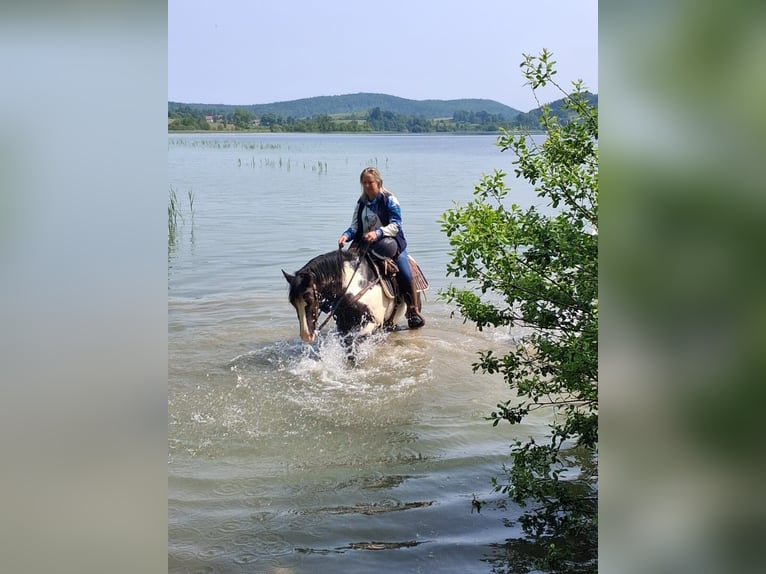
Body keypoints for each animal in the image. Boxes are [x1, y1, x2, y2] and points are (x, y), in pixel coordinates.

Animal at [282, 248, 422, 344]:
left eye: (309, 299)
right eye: (293, 303)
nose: (306, 335)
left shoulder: (373, 323)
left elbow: (356, 340)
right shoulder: (343, 326)